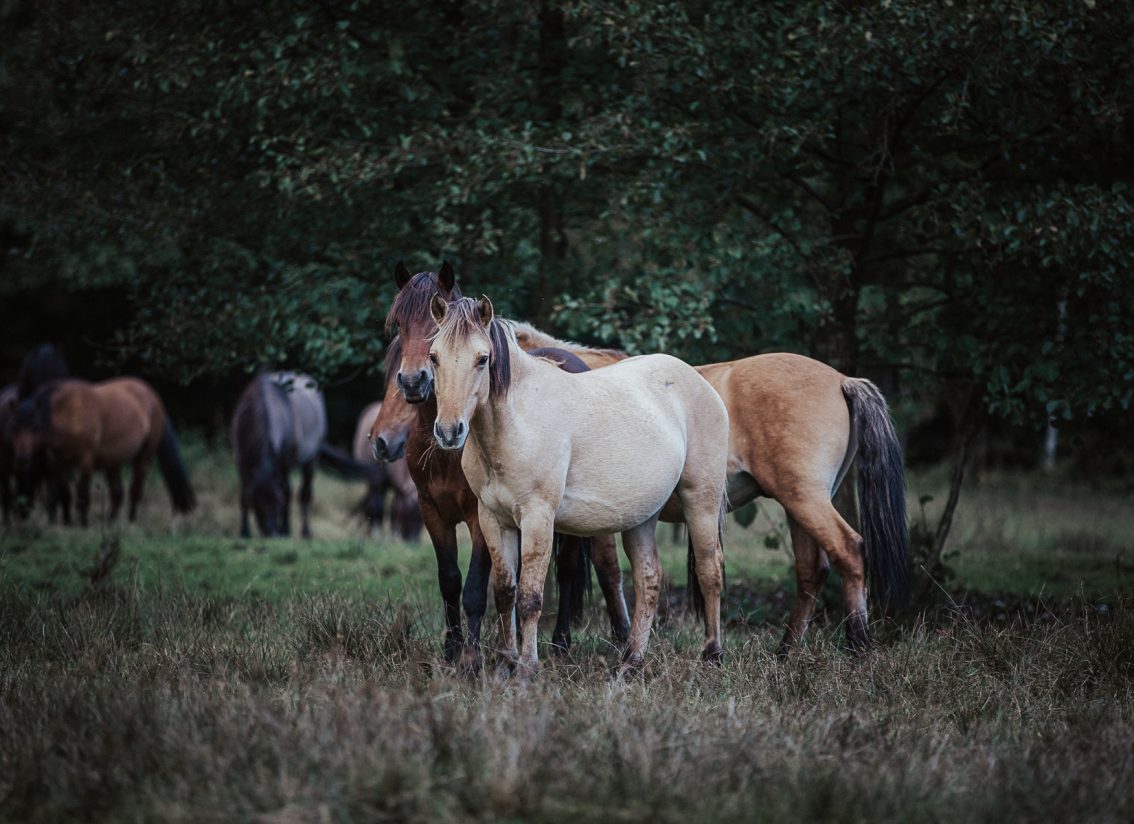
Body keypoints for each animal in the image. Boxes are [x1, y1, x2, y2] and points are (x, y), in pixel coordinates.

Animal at [232, 371, 331, 537]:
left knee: (304, 493)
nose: (272, 533)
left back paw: (303, 532)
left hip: (311, 460)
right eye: (257, 504)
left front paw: (285, 528)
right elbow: (244, 494)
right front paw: (244, 531)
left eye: (278, 503)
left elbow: (286, 492)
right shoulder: (241, 460)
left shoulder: (284, 462)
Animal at [351, 403, 424, 544]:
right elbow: (382, 507)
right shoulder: (380, 482)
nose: (412, 542)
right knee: (375, 503)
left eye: (422, 519)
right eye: (407, 514)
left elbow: (394, 509)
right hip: (374, 483)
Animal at [371, 264, 635, 670]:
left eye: (431, 327)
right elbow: (450, 579)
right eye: (398, 323)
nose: (413, 382)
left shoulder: (480, 515)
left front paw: (472, 657)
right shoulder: (432, 511)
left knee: (576, 568)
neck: (444, 452)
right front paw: (453, 649)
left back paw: (566, 642)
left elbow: (476, 588)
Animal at [510, 321, 907, 652]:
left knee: (849, 551)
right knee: (813, 569)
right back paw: (786, 649)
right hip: (799, 503)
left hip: (804, 499)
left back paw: (857, 644)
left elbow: (594, 571)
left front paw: (589, 639)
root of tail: (842, 380)